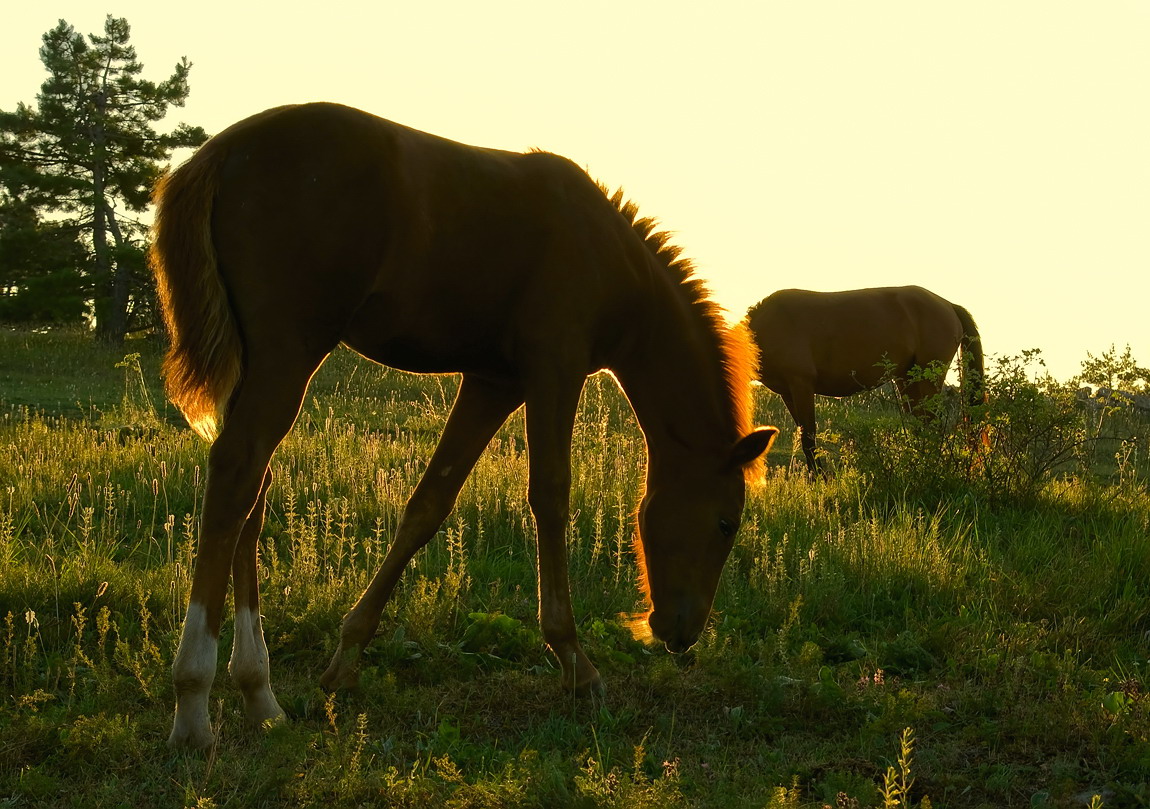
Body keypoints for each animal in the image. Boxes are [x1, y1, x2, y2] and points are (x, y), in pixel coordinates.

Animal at [148, 102, 777, 754]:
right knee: (236, 475)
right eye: (727, 523)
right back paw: (193, 705)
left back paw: (259, 695)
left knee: (255, 492)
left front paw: (346, 659)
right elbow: (550, 495)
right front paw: (577, 664)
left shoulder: (493, 383)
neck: (611, 257)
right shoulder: (555, 369)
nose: (682, 633)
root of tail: (224, 150)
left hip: (260, 365)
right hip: (287, 354)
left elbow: (429, 504)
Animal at [749, 286, 984, 471]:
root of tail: (948, 305)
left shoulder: (801, 386)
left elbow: (809, 439)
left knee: (932, 424)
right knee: (921, 424)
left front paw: (819, 479)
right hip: (907, 380)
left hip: (928, 379)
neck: (769, 326)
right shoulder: (788, 393)